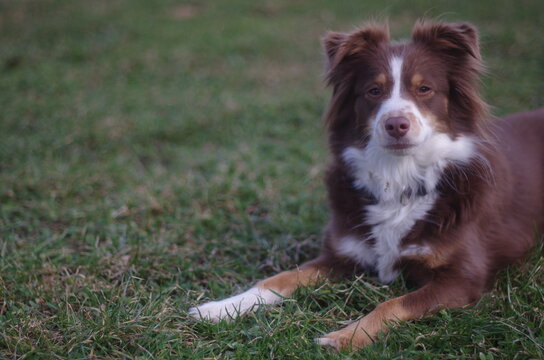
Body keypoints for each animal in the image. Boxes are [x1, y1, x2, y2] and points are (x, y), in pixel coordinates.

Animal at [188, 21, 544, 350]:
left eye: (424, 89)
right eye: (374, 90)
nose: (396, 124)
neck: (398, 177)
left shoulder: (464, 278)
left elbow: (392, 303)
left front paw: (343, 338)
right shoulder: (342, 255)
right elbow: (280, 278)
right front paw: (221, 308)